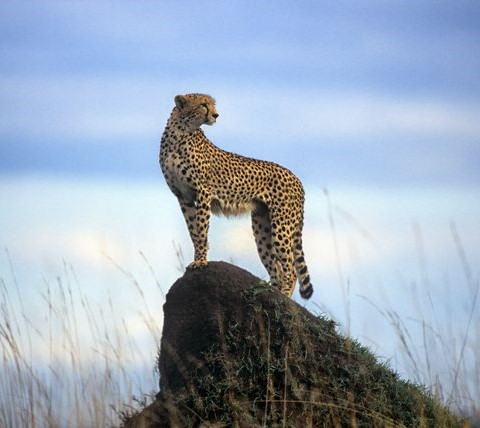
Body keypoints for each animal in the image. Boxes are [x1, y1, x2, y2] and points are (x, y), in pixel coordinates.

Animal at [159, 93, 314, 298]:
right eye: (203, 105)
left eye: (212, 104)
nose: (216, 115)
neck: (180, 132)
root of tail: (297, 179)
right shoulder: (183, 196)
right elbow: (193, 231)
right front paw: (198, 257)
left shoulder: (202, 192)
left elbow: (201, 231)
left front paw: (200, 261)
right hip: (261, 226)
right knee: (277, 268)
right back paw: (272, 292)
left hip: (281, 225)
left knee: (290, 268)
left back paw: (284, 297)